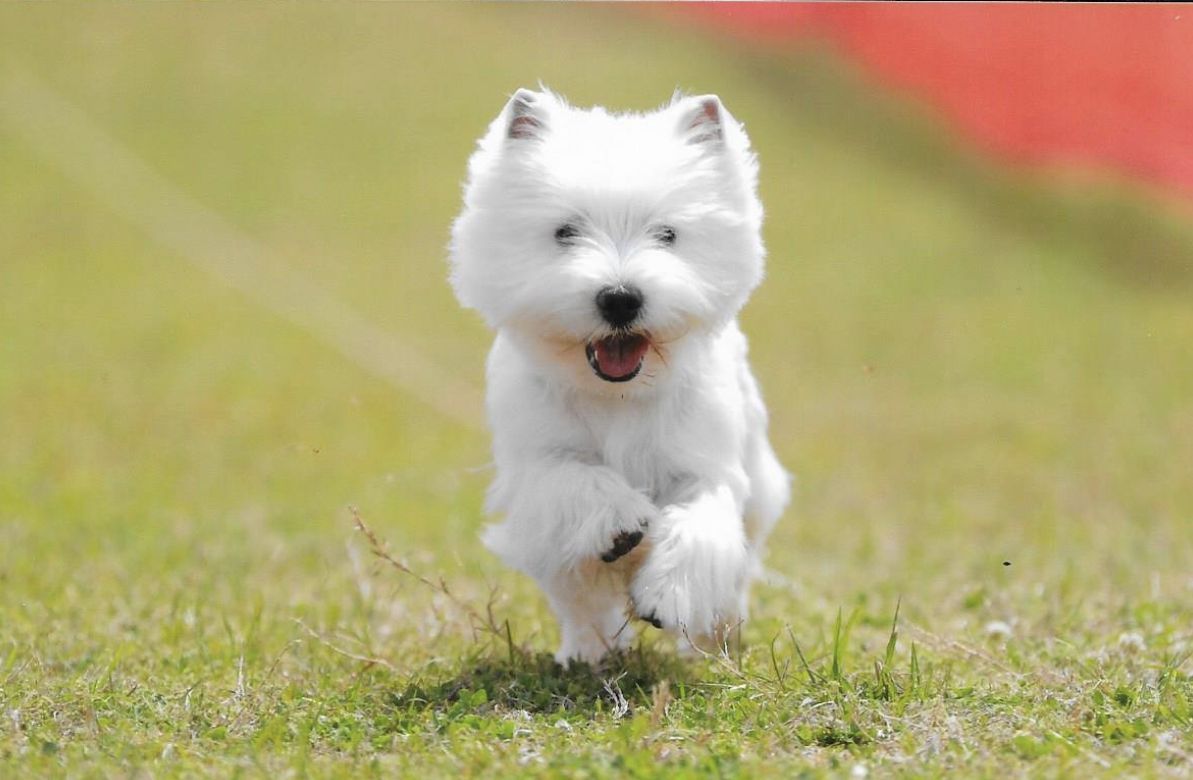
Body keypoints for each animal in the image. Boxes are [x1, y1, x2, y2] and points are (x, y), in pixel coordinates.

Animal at [450, 90, 787, 667]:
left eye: (668, 234)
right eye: (565, 232)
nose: (621, 298)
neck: (620, 394)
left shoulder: (705, 466)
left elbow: (696, 524)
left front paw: (666, 596)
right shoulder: (537, 461)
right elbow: (575, 478)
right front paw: (622, 520)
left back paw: (712, 643)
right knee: (582, 600)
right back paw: (590, 653)